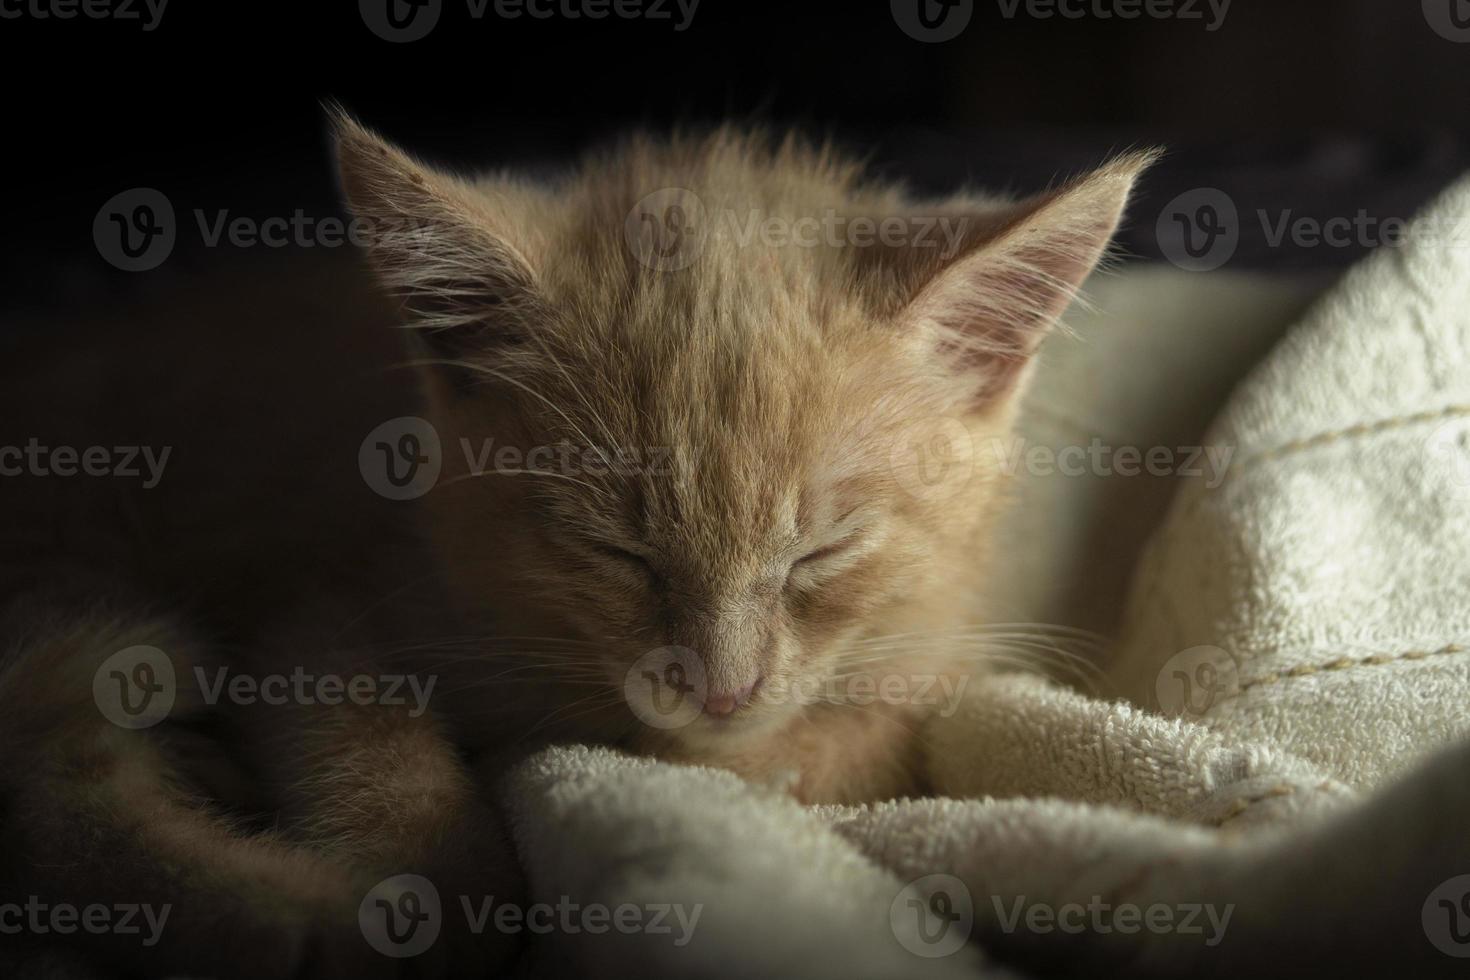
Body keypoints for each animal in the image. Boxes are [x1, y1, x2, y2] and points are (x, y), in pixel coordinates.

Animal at [0, 119, 1146, 975]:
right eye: (617, 550)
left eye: (823, 550)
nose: (721, 688)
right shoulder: (320, 608)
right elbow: (368, 736)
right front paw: (423, 894)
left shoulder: (931, 652)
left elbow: (859, 743)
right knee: (56, 772)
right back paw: (288, 918)